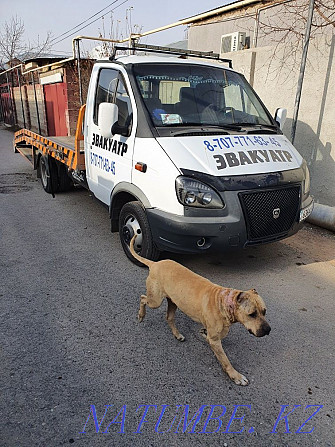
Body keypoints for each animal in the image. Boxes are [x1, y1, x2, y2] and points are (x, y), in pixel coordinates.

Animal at [130, 236, 272, 386]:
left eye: (264, 312)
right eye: (252, 314)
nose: (268, 330)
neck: (224, 301)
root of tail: (155, 263)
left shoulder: (217, 333)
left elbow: (217, 336)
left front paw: (204, 332)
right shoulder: (215, 340)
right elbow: (225, 360)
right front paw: (235, 376)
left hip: (173, 302)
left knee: (169, 317)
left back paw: (177, 334)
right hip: (155, 301)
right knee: (143, 298)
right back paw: (141, 315)